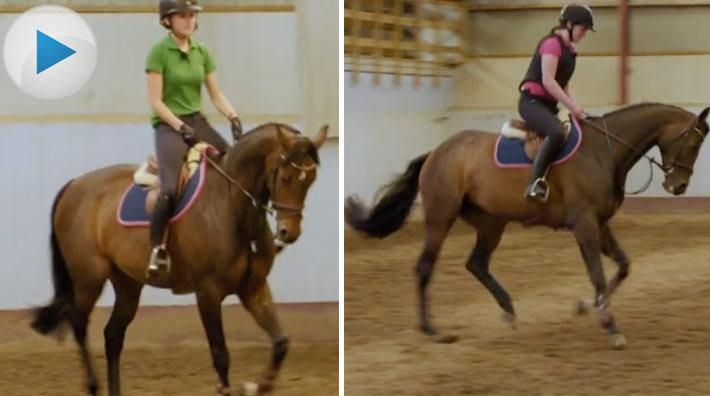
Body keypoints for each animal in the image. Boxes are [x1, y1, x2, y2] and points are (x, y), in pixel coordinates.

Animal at [28, 122, 328, 394]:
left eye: (311, 180)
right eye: (285, 176)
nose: (289, 233)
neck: (231, 207)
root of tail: (75, 184)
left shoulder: (253, 288)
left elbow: (281, 343)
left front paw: (259, 385)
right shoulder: (207, 292)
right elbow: (221, 355)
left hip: (127, 283)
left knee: (112, 335)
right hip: (89, 278)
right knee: (78, 323)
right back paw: (92, 385)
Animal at [348, 103, 708, 348]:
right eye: (692, 144)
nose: (678, 186)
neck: (603, 152)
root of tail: (437, 152)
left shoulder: (600, 224)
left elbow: (623, 266)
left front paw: (588, 306)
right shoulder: (585, 224)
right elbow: (598, 274)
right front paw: (610, 325)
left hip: (492, 222)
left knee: (476, 263)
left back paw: (507, 309)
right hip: (441, 217)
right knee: (425, 267)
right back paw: (432, 330)